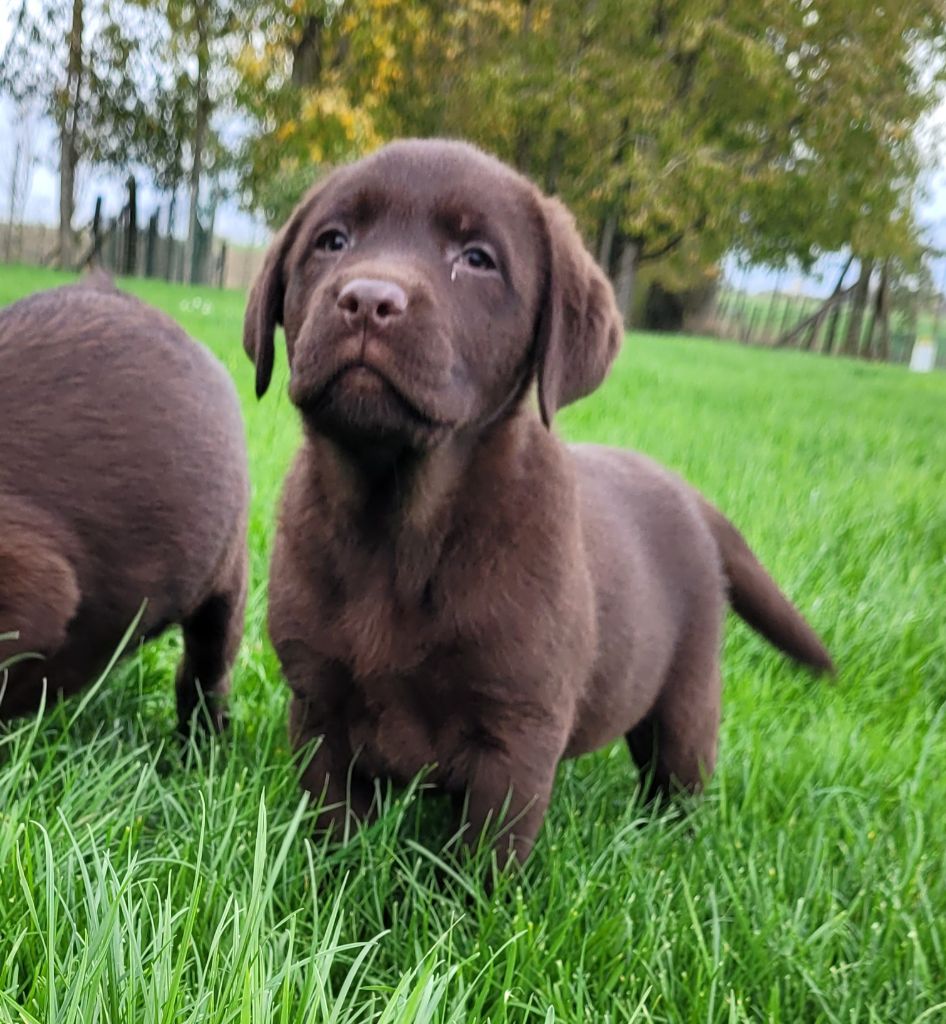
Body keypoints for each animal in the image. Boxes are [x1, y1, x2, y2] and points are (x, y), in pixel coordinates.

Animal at [247, 138, 831, 864]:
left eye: (477, 259)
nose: (366, 298)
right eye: (332, 241)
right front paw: (334, 882)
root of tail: (689, 493)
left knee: (677, 777)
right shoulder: (318, 709)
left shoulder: (516, 735)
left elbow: (482, 862)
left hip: (687, 697)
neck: (399, 523)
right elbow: (334, 832)